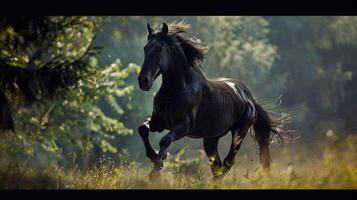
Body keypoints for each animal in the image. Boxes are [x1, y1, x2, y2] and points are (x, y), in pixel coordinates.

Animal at [138, 21, 288, 180]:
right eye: (146, 48)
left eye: (160, 49)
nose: (143, 81)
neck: (176, 90)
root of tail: (249, 97)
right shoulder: (158, 122)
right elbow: (142, 129)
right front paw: (154, 155)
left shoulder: (184, 126)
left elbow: (165, 140)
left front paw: (156, 170)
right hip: (211, 139)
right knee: (217, 166)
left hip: (239, 131)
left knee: (227, 162)